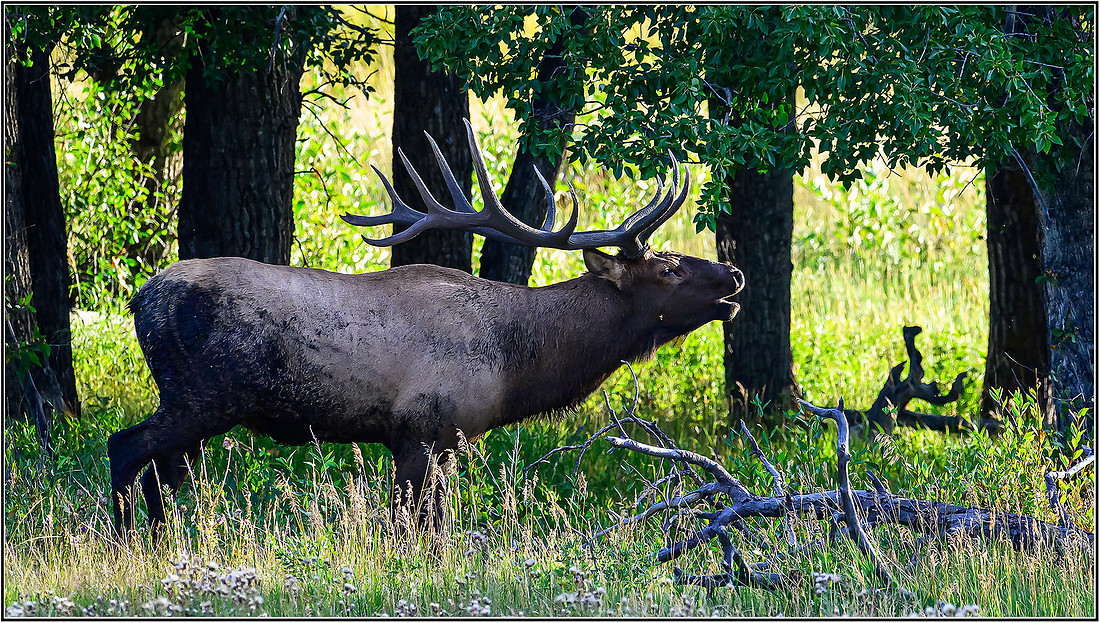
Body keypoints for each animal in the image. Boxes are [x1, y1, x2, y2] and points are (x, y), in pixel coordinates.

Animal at [108, 119, 745, 539]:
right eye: (668, 267)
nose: (734, 274)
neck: (515, 367)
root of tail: (142, 298)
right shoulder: (422, 430)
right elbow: (418, 530)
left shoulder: (444, 443)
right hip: (199, 394)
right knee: (126, 447)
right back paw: (127, 542)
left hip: (197, 406)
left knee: (162, 472)